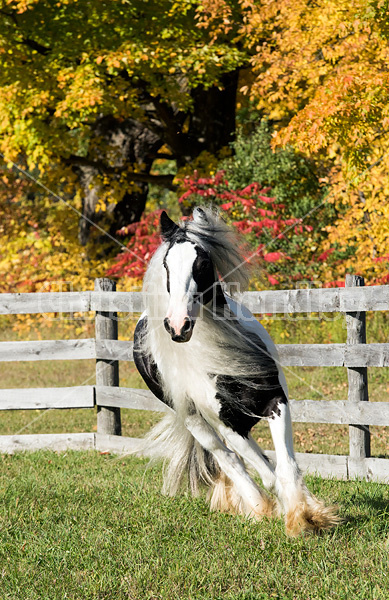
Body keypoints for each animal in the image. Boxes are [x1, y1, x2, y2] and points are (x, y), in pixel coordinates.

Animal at [132, 209, 338, 536]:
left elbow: (285, 466)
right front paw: (291, 514)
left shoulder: (275, 402)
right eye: (166, 265)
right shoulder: (227, 424)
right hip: (195, 420)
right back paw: (255, 507)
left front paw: (307, 516)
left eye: (202, 263)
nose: (177, 326)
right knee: (227, 459)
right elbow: (261, 472)